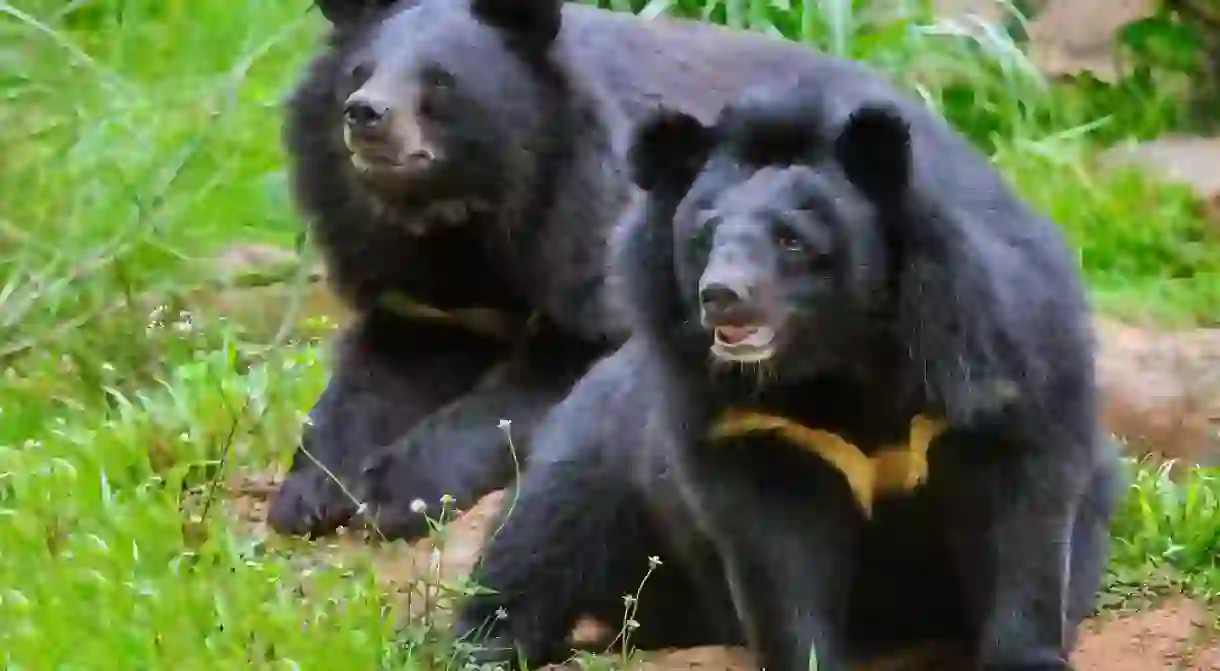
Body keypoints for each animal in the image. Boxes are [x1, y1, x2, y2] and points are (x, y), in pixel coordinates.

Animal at [451, 78, 1122, 671]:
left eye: (792, 241)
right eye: (705, 234)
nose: (721, 296)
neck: (838, 354)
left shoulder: (999, 354)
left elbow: (1025, 508)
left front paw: (1027, 656)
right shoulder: (740, 419)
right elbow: (778, 550)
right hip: (602, 458)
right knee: (541, 536)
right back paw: (485, 647)